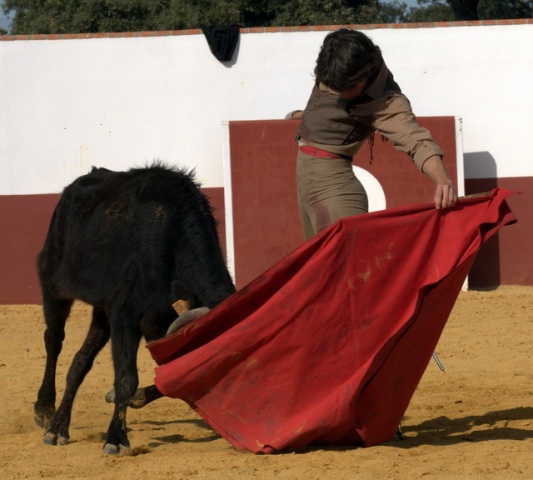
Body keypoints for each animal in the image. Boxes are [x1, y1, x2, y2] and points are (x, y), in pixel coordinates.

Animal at [32, 164, 234, 454]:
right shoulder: (125, 314)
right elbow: (127, 377)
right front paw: (116, 438)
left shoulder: (154, 320)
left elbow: (166, 373)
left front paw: (128, 400)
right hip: (52, 283)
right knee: (54, 340)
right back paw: (45, 410)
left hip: (102, 311)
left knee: (80, 361)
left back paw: (59, 427)